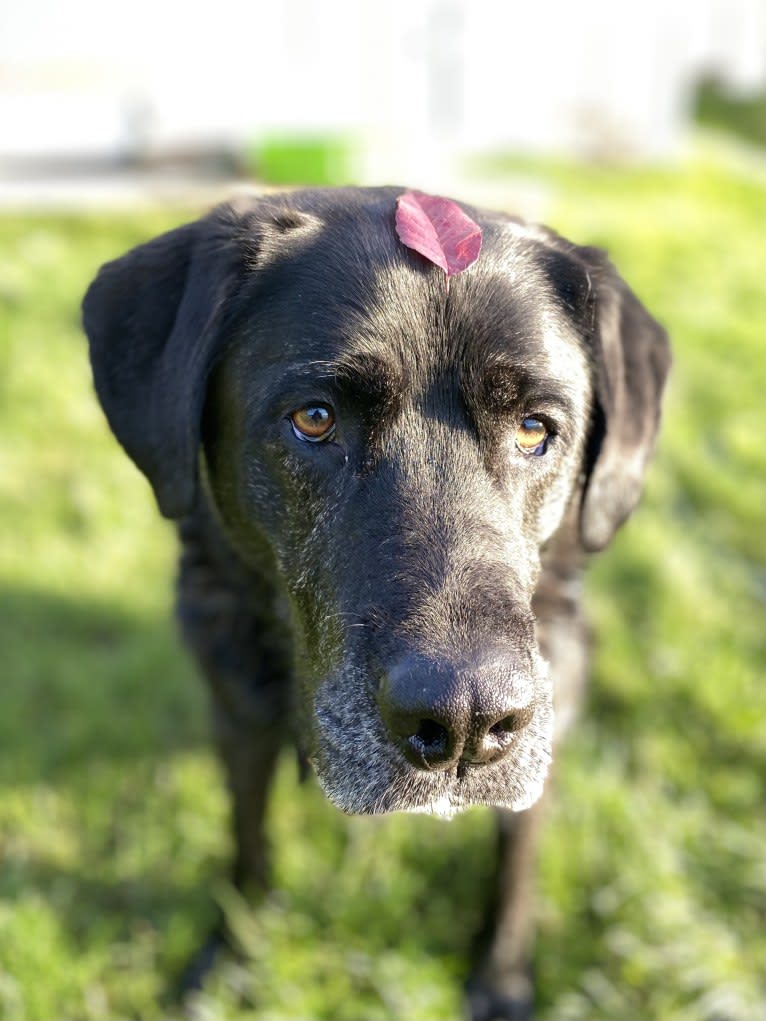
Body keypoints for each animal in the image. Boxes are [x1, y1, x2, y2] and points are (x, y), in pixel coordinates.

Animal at [83, 185, 669, 1021]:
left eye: (535, 429)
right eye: (315, 418)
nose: (467, 722)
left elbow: (516, 860)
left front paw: (500, 975)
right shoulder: (237, 711)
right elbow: (247, 836)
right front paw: (234, 951)